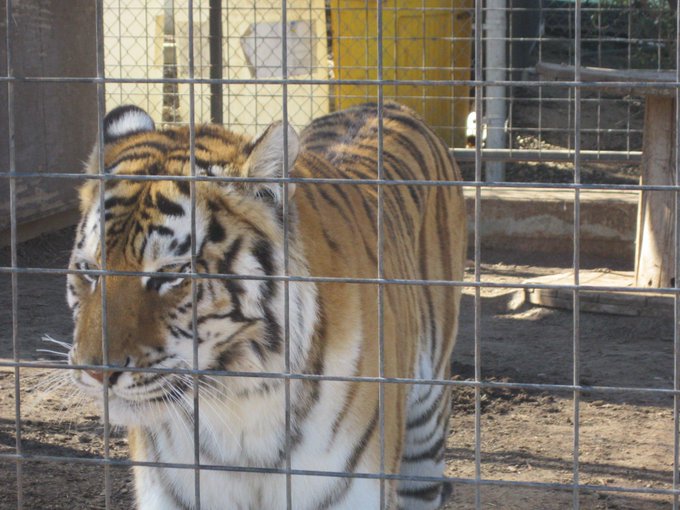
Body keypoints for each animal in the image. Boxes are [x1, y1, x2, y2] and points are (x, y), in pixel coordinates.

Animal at [65, 101, 466, 510]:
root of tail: (385, 104)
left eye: (169, 274)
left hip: (427, 426)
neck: (239, 404)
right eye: (90, 270)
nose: (96, 373)